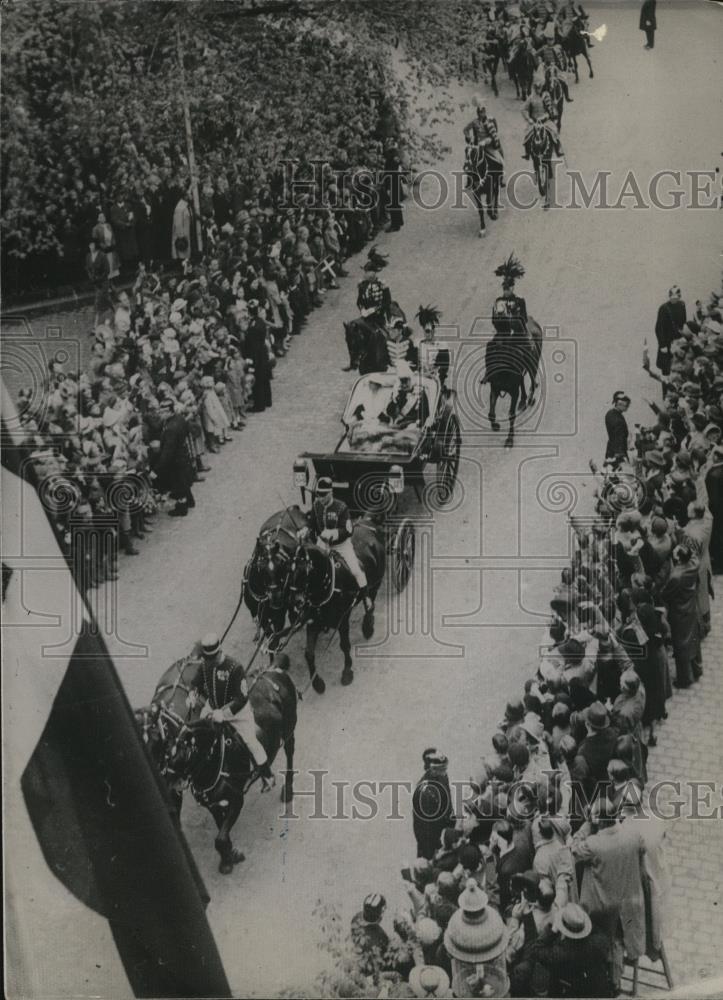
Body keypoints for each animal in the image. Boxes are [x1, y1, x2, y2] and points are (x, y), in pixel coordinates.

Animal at [245, 508, 390, 688]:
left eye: (302, 571)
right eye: (289, 569)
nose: (295, 602)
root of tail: (368, 522)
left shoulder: (342, 621)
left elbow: (345, 645)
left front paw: (347, 672)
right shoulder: (311, 623)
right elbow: (308, 653)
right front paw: (317, 684)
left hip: (376, 583)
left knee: (370, 601)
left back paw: (368, 626)